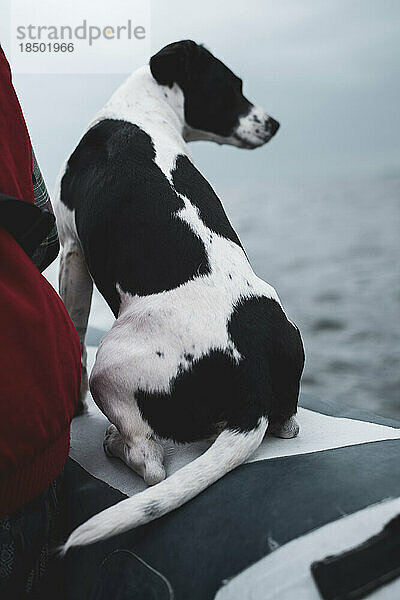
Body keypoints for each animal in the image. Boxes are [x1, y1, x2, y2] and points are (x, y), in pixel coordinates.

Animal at [55, 39, 304, 552]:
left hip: (111, 365)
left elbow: (74, 331)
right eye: (232, 86)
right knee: (288, 424)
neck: (142, 110)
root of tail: (252, 386)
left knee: (150, 462)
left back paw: (115, 443)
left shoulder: (73, 249)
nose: (273, 123)